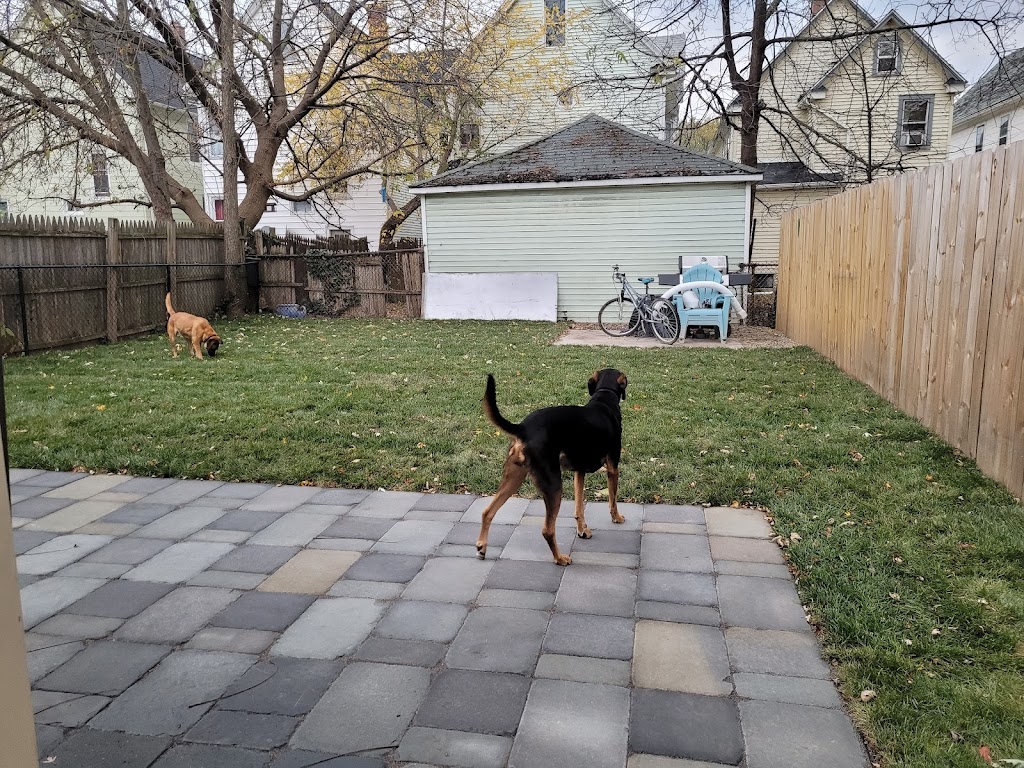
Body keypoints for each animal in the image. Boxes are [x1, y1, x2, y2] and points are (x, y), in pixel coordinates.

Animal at [477, 369, 628, 566]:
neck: (604, 398)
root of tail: (523, 428)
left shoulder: (579, 472)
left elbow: (579, 508)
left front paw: (582, 530)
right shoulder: (612, 467)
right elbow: (613, 500)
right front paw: (617, 518)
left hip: (514, 478)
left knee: (487, 512)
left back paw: (482, 547)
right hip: (554, 485)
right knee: (547, 530)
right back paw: (560, 558)